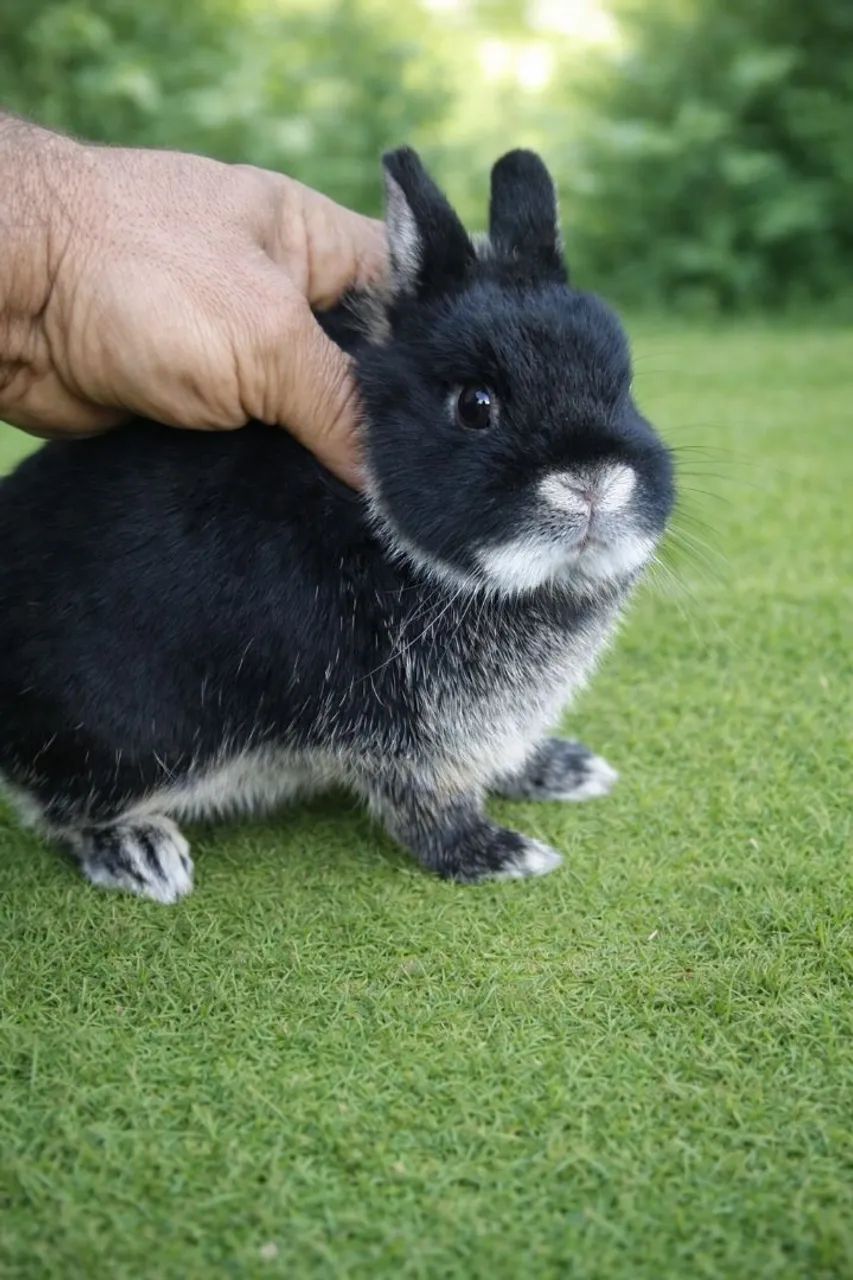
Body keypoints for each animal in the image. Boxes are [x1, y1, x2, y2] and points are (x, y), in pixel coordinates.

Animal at [0, 146, 675, 902]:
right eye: (475, 406)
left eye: (622, 386)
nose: (593, 484)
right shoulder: (398, 726)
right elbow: (424, 802)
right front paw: (498, 854)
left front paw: (558, 770)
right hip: (124, 735)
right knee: (59, 807)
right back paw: (139, 852)